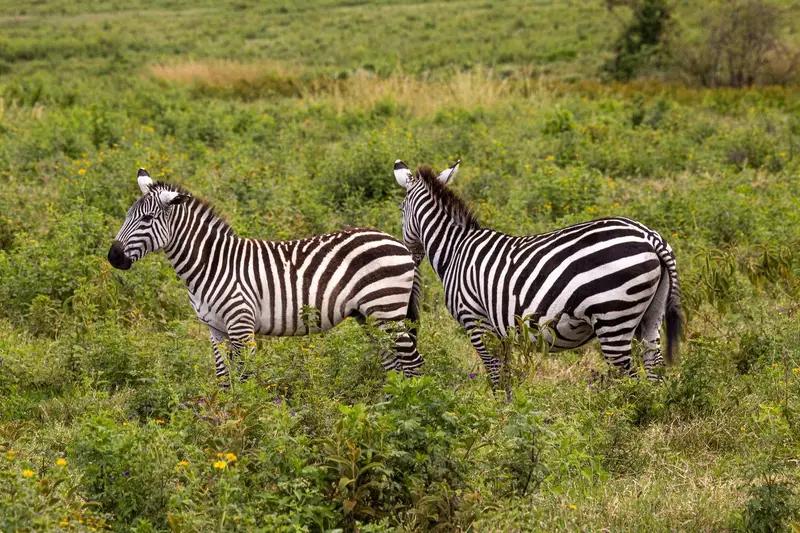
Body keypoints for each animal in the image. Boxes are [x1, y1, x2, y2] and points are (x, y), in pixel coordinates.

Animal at [108, 168, 423, 386]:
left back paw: (410, 408)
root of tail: (397, 242)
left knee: (412, 362)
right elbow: (224, 378)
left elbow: (245, 377)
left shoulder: (241, 325)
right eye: (127, 215)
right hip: (368, 315)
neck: (211, 264)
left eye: (146, 220)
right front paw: (225, 417)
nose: (113, 257)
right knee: (393, 363)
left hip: (386, 308)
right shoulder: (215, 330)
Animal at [392, 159, 681, 391]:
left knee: (629, 376)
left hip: (613, 315)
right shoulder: (499, 330)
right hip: (651, 313)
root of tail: (650, 237)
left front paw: (499, 415)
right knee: (654, 367)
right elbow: (506, 373)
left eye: (400, 211)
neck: (455, 249)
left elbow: (495, 375)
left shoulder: (475, 320)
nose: (410, 256)